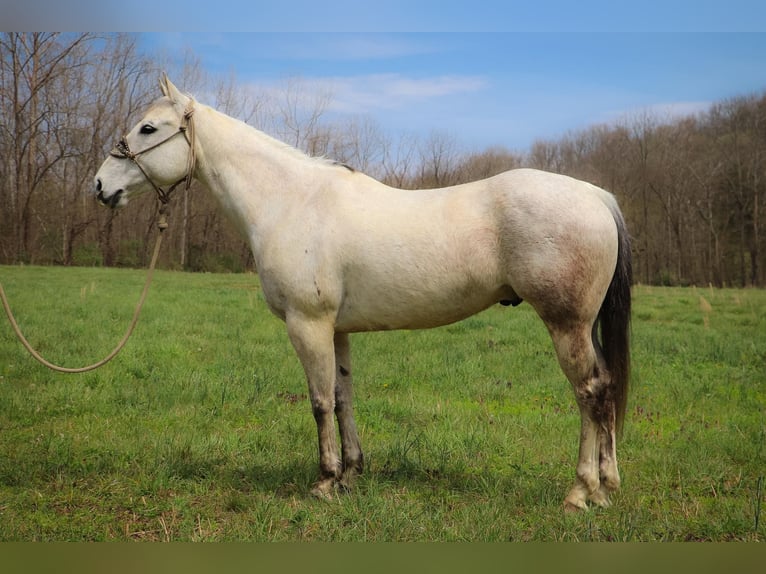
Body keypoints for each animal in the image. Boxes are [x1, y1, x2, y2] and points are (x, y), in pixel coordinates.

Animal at [96, 76, 632, 512]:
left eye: (148, 129)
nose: (101, 186)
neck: (289, 200)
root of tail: (595, 196)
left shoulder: (307, 324)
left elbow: (318, 401)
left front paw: (324, 481)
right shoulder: (336, 329)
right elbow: (342, 397)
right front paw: (351, 474)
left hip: (566, 326)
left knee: (590, 393)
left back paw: (581, 491)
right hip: (584, 327)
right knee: (606, 388)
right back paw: (607, 487)